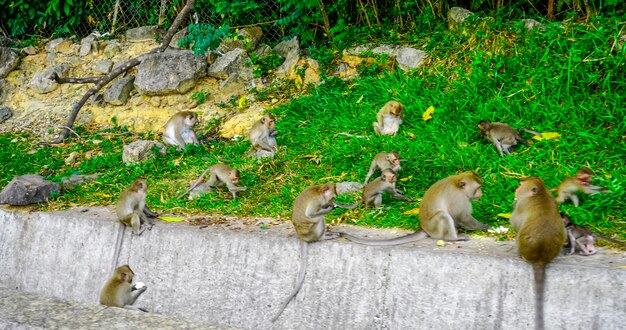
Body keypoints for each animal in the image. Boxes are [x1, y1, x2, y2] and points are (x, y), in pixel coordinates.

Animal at [270, 182, 354, 320]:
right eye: (332, 196)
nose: (332, 201)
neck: (319, 191)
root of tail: (302, 237)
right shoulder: (317, 201)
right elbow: (310, 215)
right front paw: (330, 208)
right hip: (311, 232)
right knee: (318, 219)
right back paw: (322, 237)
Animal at [336, 171, 488, 246]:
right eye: (478, 188)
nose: (481, 193)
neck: (457, 183)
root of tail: (424, 228)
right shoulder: (458, 198)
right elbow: (462, 216)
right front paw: (486, 226)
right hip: (435, 228)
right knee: (443, 216)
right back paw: (454, 238)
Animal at [510, 177, 564, 330]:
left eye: (521, 186)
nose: (516, 189)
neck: (541, 194)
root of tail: (540, 258)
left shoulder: (522, 204)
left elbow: (515, 223)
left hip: (522, 247)